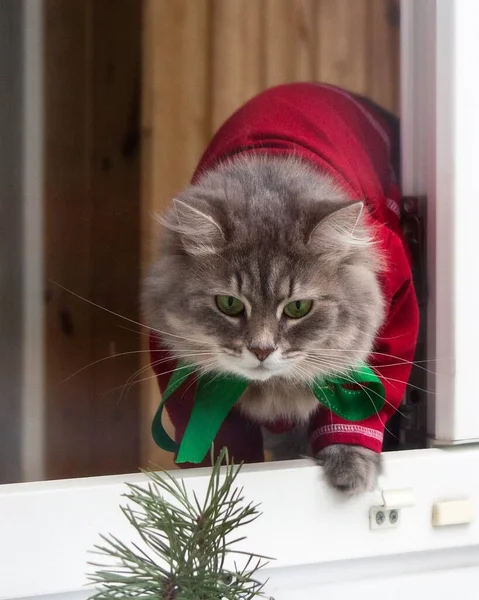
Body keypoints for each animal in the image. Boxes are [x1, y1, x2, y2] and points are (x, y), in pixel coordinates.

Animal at [142, 82, 420, 494]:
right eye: (229, 304)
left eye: (297, 308)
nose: (261, 350)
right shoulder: (181, 375)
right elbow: (221, 443)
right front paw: (219, 485)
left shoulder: (393, 323)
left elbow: (355, 412)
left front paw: (350, 466)